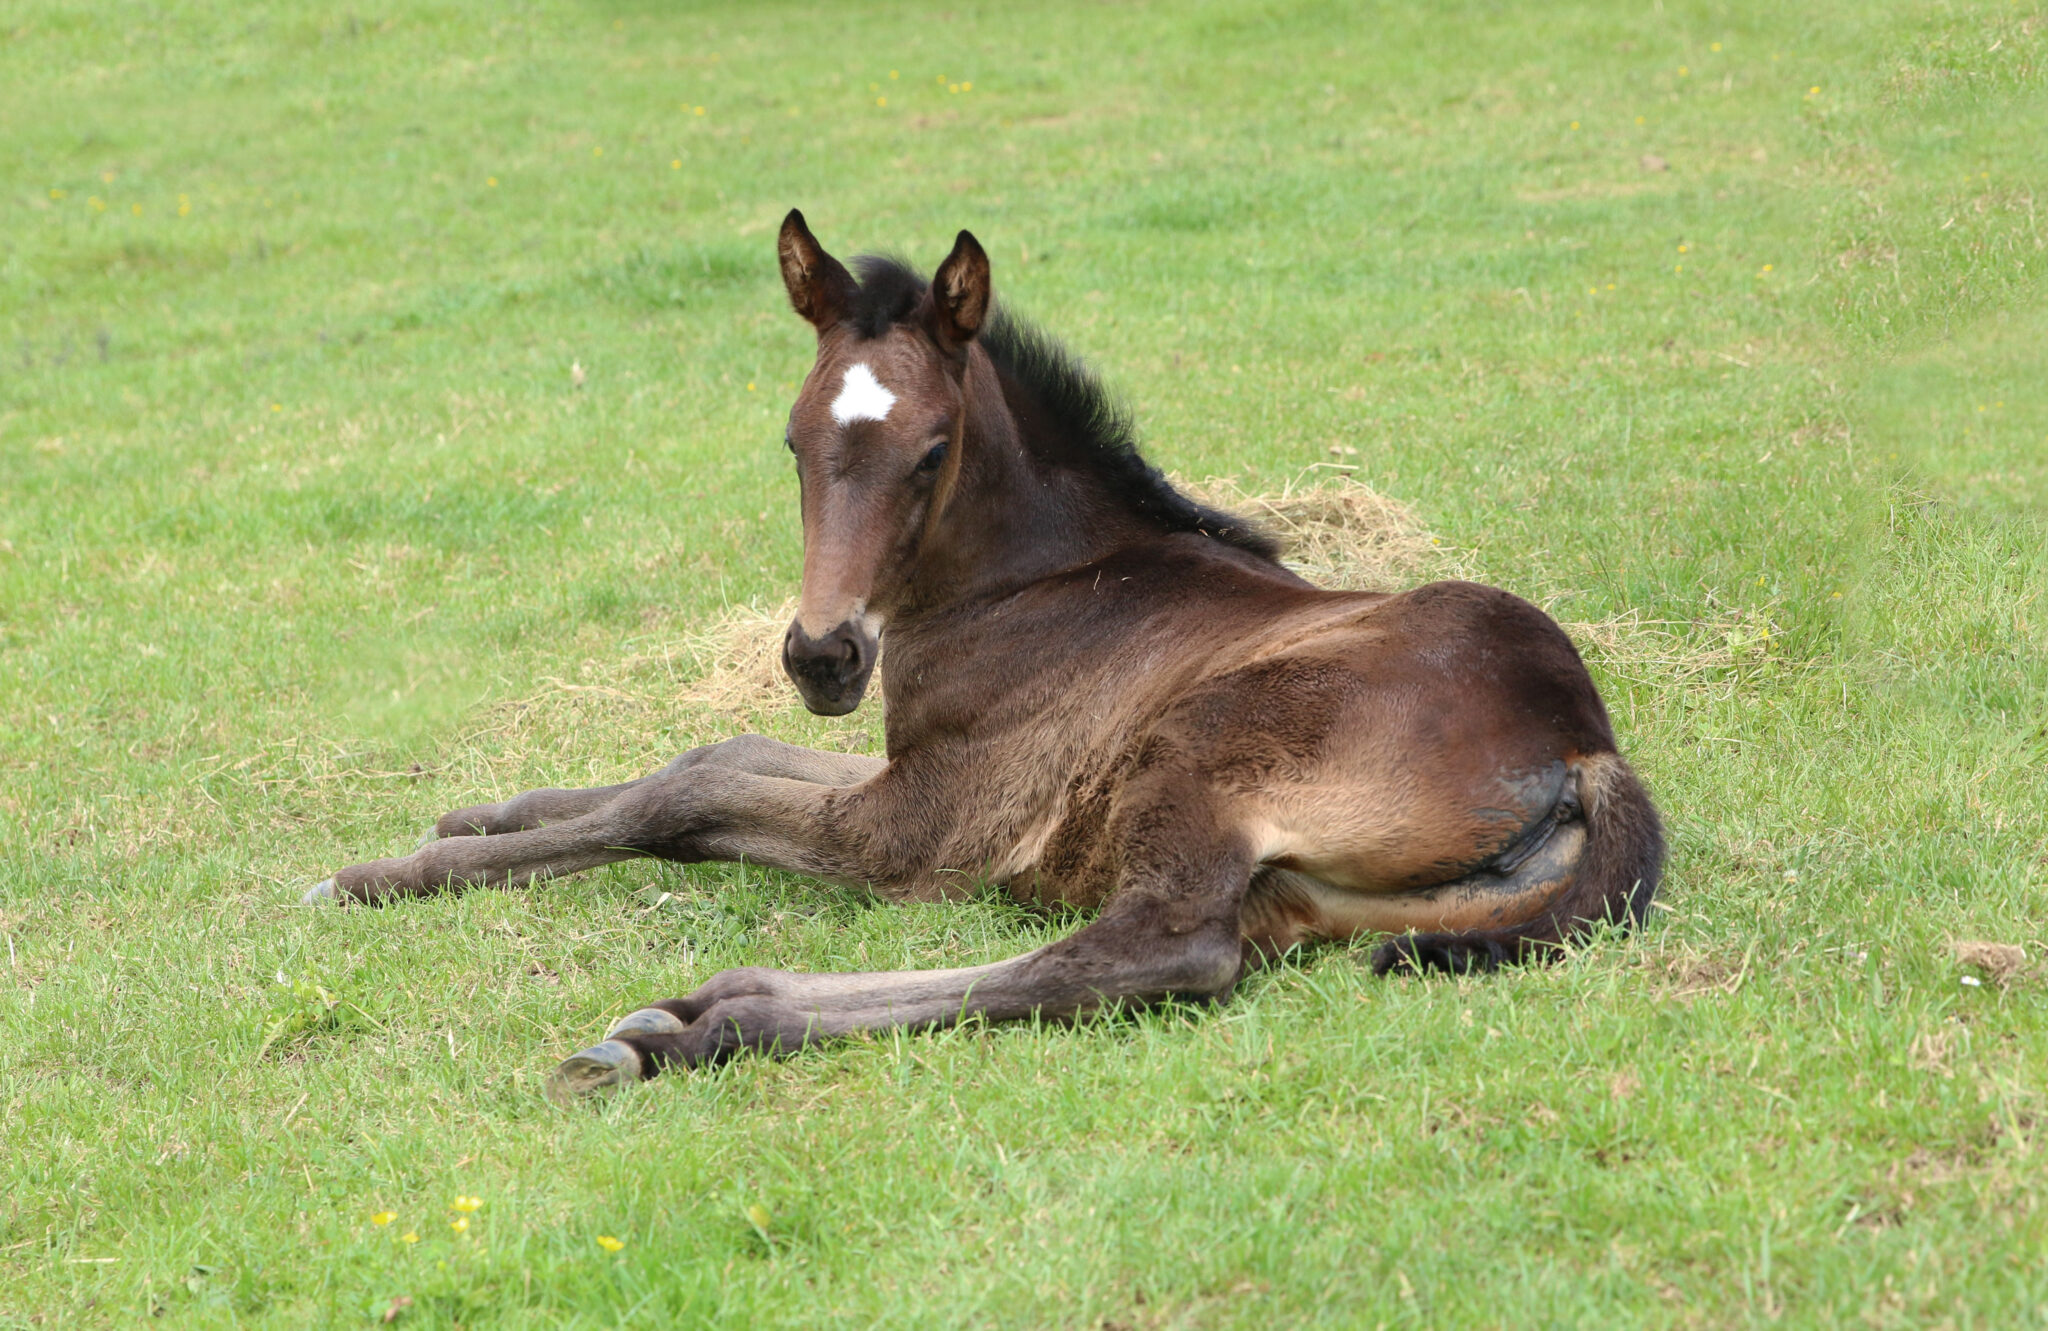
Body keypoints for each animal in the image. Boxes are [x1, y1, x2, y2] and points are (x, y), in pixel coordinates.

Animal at [311, 209, 1671, 1097]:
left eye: (928, 451)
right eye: (792, 440)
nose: (821, 656)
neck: (1033, 585)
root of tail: (1581, 745)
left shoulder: (917, 824)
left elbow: (685, 799)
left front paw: (384, 873)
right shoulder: (901, 767)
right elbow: (708, 752)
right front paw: (482, 814)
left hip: (1198, 754)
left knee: (1151, 951)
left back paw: (701, 1023)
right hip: (1300, 891)